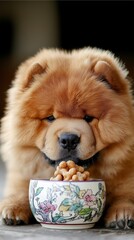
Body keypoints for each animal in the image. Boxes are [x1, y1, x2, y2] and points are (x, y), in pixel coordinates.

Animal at [0, 47, 134, 229]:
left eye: (88, 118)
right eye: (50, 118)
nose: (69, 139)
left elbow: (125, 195)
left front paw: (123, 214)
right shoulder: (22, 175)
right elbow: (20, 192)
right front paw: (12, 209)